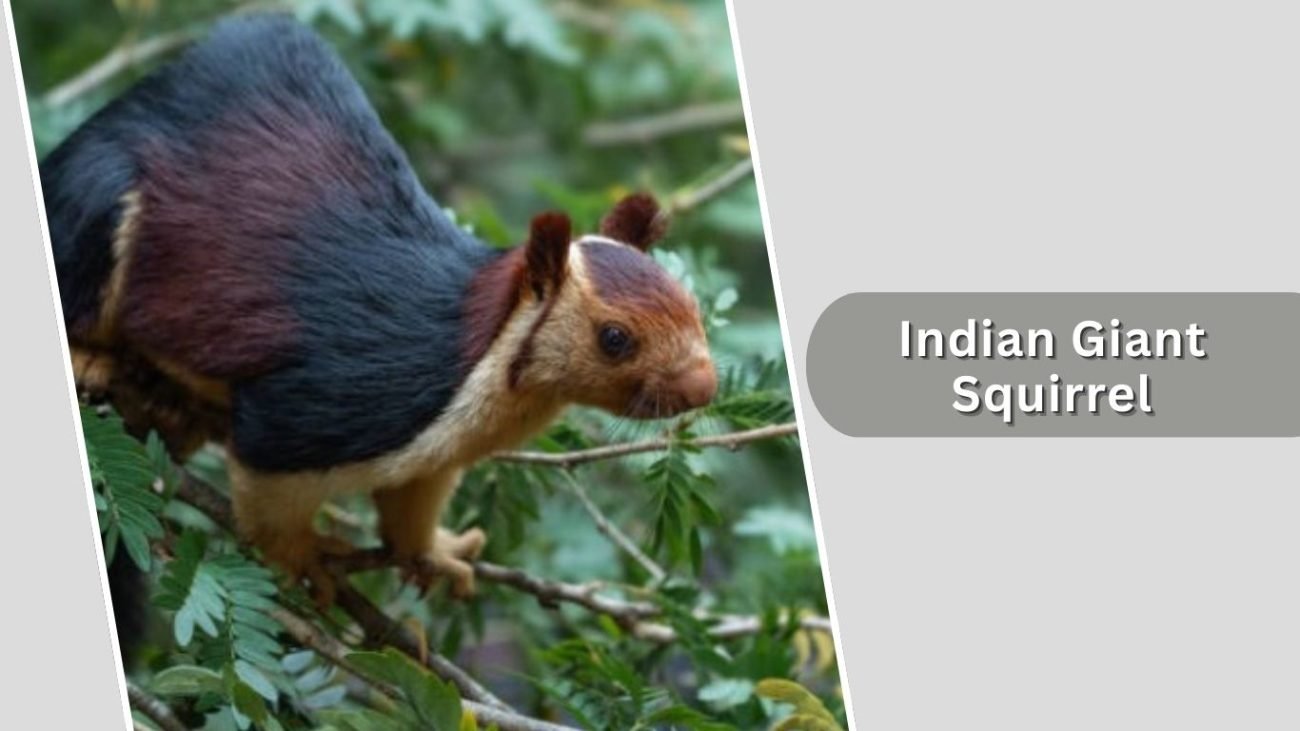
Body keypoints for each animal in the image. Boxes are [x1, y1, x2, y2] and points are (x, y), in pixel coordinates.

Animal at [43, 15, 717, 612]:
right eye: (614, 337)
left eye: (694, 305)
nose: (704, 386)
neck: (490, 362)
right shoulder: (340, 402)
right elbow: (268, 497)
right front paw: (307, 560)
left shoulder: (436, 457)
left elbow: (409, 512)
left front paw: (438, 554)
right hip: (94, 208)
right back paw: (93, 361)